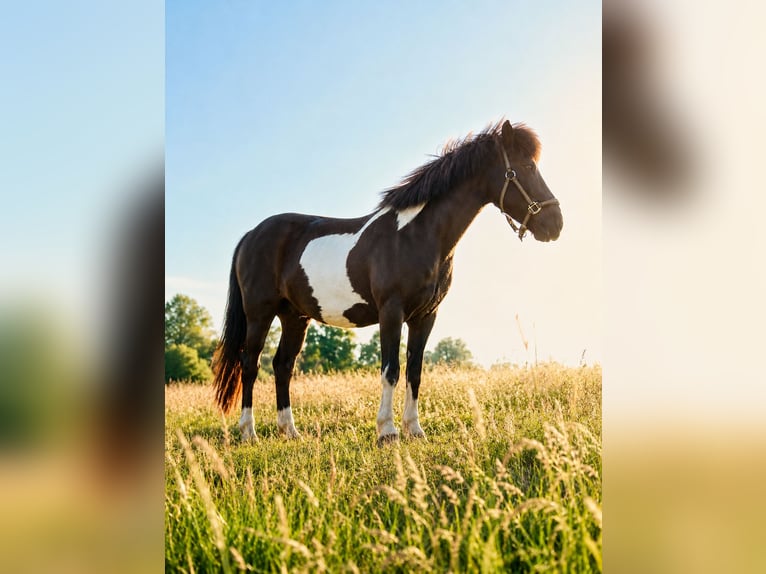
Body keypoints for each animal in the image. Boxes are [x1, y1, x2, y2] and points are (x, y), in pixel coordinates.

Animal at [212, 119, 563, 445]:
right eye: (526, 168)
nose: (555, 224)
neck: (416, 236)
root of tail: (251, 234)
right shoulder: (391, 312)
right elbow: (390, 370)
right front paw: (388, 431)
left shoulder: (425, 317)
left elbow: (414, 371)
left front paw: (415, 430)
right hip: (260, 313)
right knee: (250, 364)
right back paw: (248, 432)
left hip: (295, 317)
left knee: (282, 365)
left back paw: (290, 431)